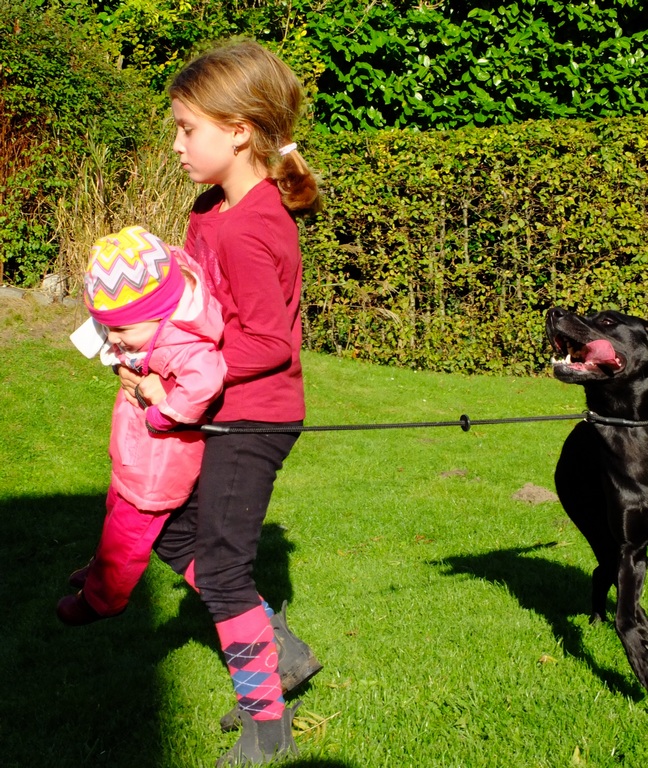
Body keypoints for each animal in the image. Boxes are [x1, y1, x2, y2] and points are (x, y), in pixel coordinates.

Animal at [546, 306, 648, 690]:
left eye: (607, 321)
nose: (554, 311)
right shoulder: (629, 546)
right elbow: (625, 619)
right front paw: (641, 665)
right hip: (597, 530)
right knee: (602, 573)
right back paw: (599, 619)